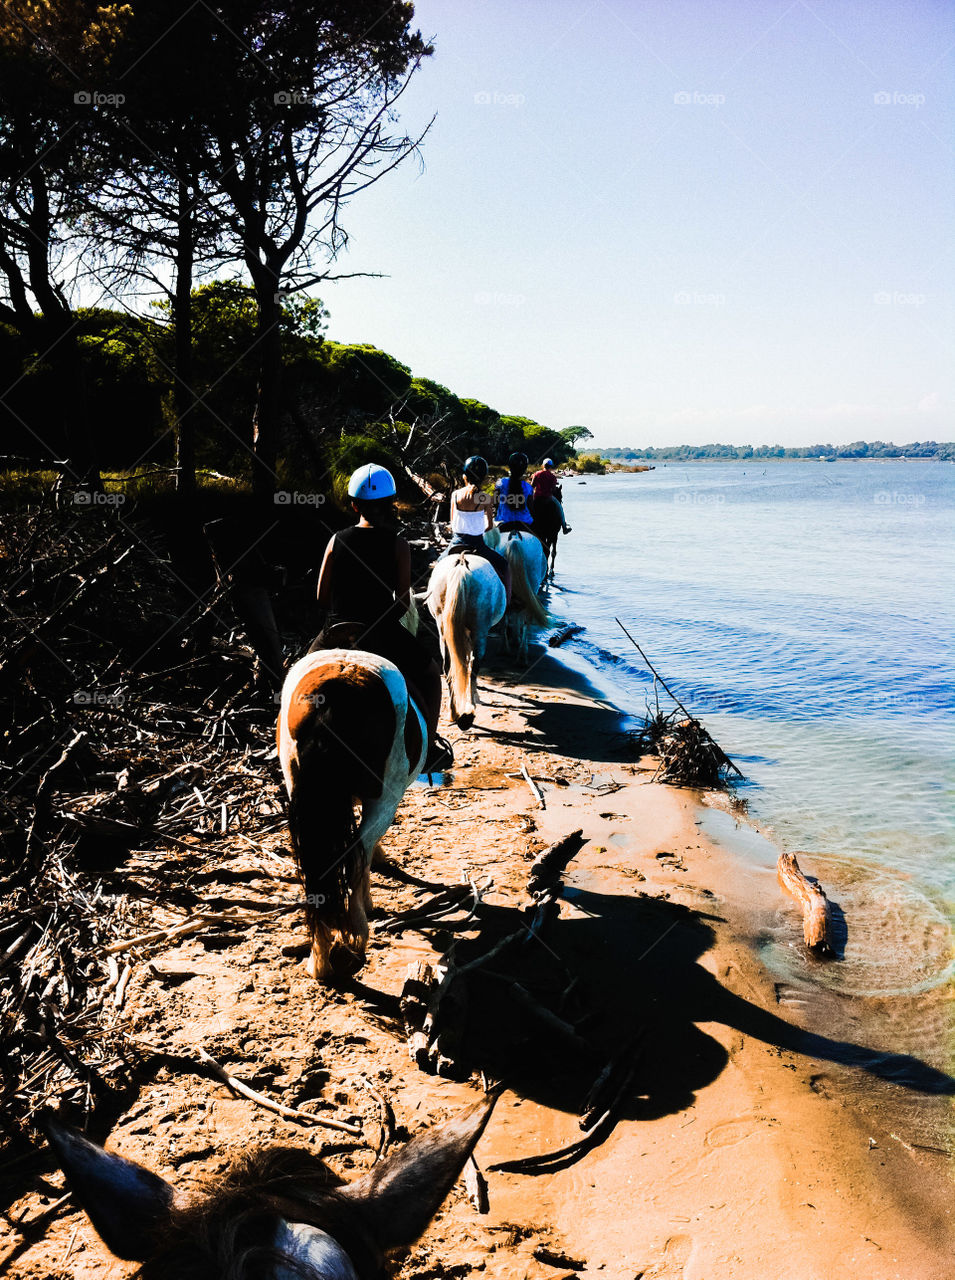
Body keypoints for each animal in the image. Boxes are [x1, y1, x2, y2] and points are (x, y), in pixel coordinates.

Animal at [426, 553, 506, 730]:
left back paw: (454, 711)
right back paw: (470, 707)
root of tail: (461, 563)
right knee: (474, 665)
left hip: (443, 629)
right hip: (480, 630)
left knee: (448, 667)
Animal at [488, 528, 549, 664]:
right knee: (524, 618)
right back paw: (519, 653)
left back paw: (507, 649)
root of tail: (515, 539)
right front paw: (516, 639)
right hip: (532, 586)